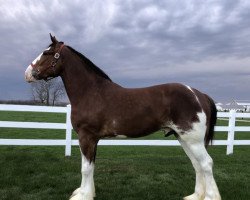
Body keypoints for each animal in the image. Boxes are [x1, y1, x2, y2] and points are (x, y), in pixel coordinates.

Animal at [24, 34, 221, 200]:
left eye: (47, 53)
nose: (27, 73)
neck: (91, 92)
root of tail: (199, 95)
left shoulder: (86, 137)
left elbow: (85, 168)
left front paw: (83, 196)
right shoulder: (92, 139)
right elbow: (91, 165)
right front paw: (87, 192)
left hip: (192, 140)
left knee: (206, 164)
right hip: (183, 138)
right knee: (196, 165)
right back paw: (195, 196)